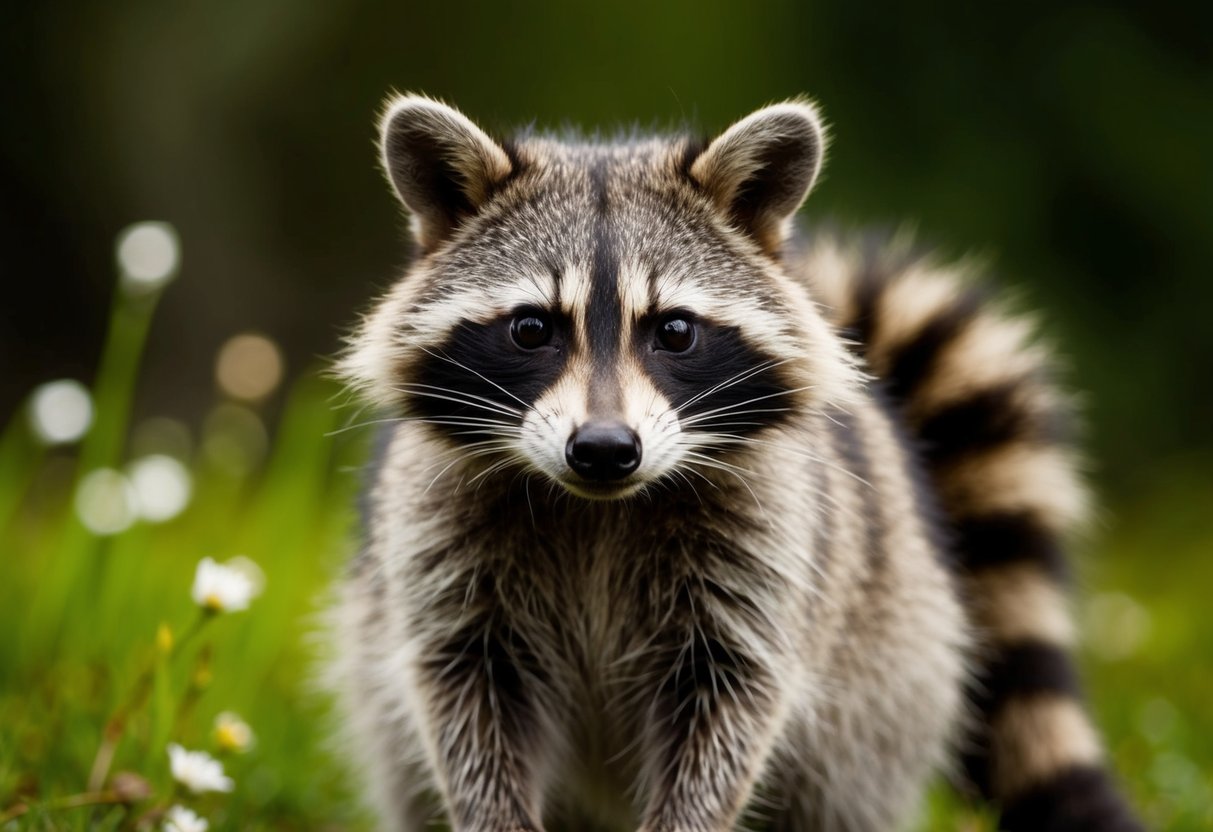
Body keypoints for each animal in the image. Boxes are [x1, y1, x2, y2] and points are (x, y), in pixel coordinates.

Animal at [329, 94, 1143, 832]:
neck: (599, 509)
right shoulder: (441, 557)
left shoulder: (768, 552)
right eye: (531, 329)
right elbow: (467, 708)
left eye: (674, 331)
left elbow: (729, 713)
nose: (603, 449)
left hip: (884, 690)